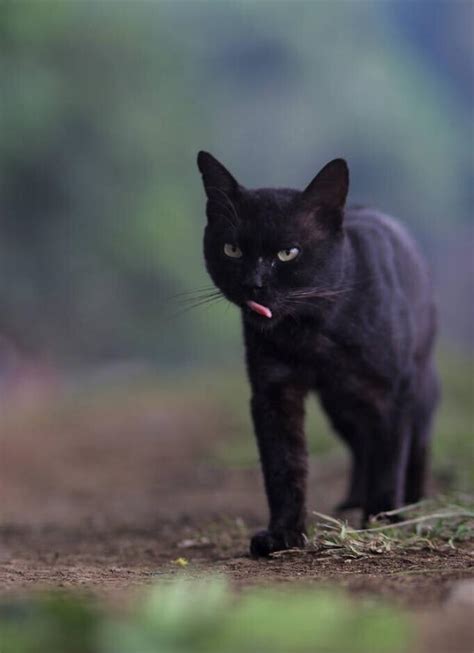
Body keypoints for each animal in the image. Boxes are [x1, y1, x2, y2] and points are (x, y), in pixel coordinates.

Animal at [195, 152, 436, 556]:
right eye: (232, 249)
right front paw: (283, 535)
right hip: (341, 409)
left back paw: (413, 504)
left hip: (417, 391)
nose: (253, 284)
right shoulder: (274, 391)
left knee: (413, 447)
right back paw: (353, 500)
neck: (312, 331)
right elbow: (284, 466)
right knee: (360, 449)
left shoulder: (389, 394)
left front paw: (382, 521)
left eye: (288, 253)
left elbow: (389, 460)